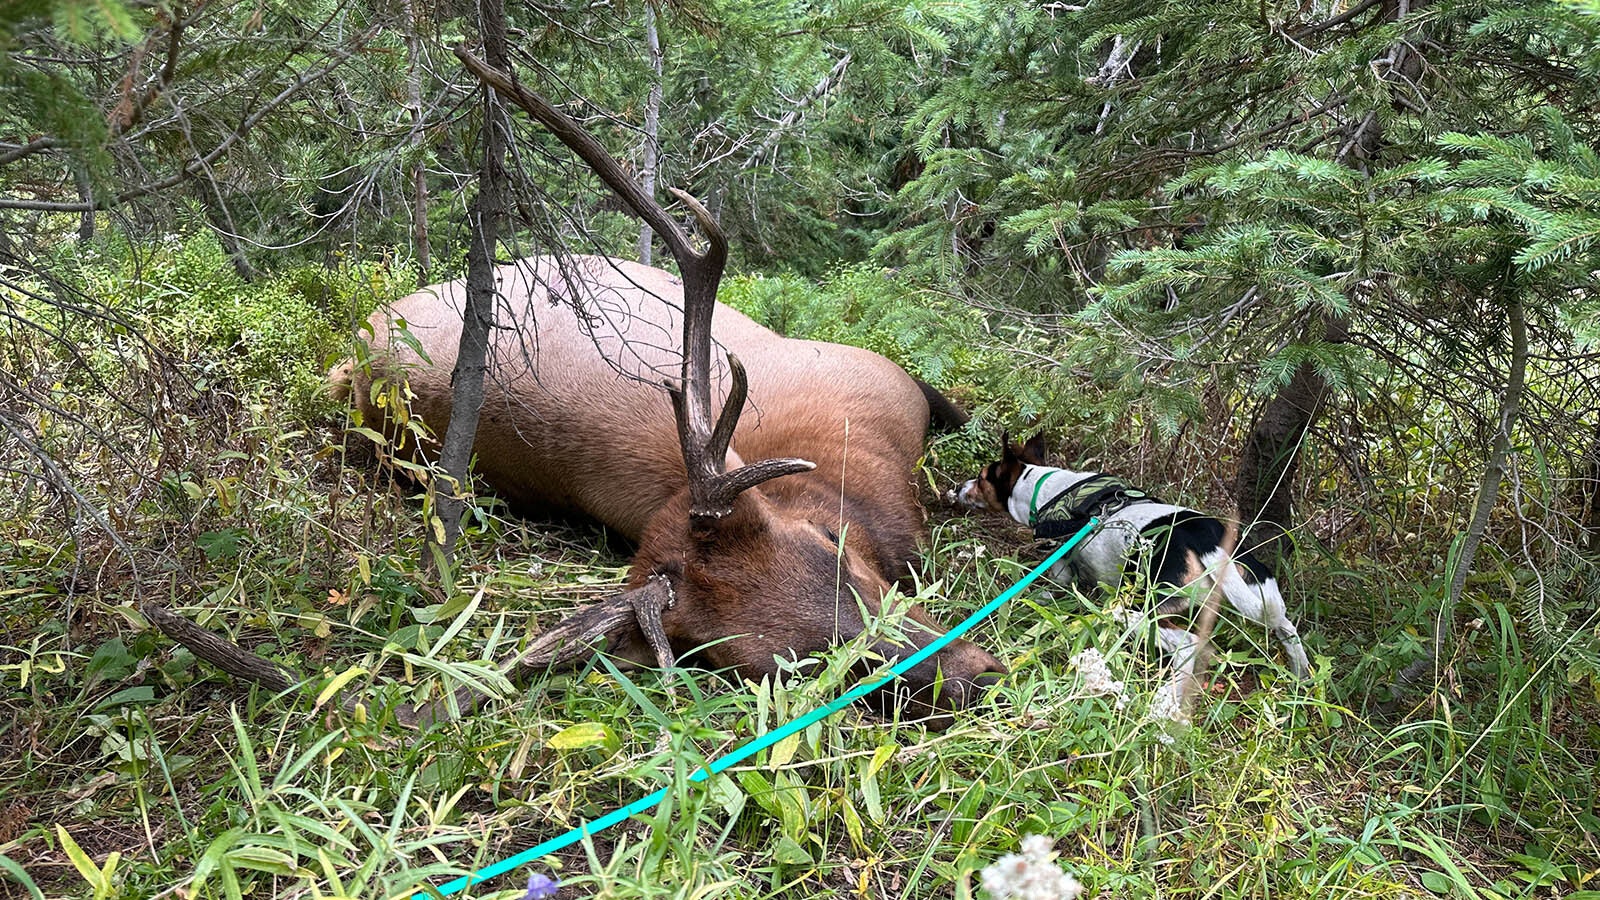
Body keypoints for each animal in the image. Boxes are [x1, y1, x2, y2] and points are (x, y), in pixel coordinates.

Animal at [947, 432, 1312, 675]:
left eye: (980, 478)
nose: (955, 488)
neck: (1041, 486)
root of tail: (1203, 538)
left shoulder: (1061, 562)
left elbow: (1057, 586)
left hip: (1140, 607)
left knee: (1183, 644)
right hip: (1260, 589)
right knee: (1286, 628)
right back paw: (1301, 675)